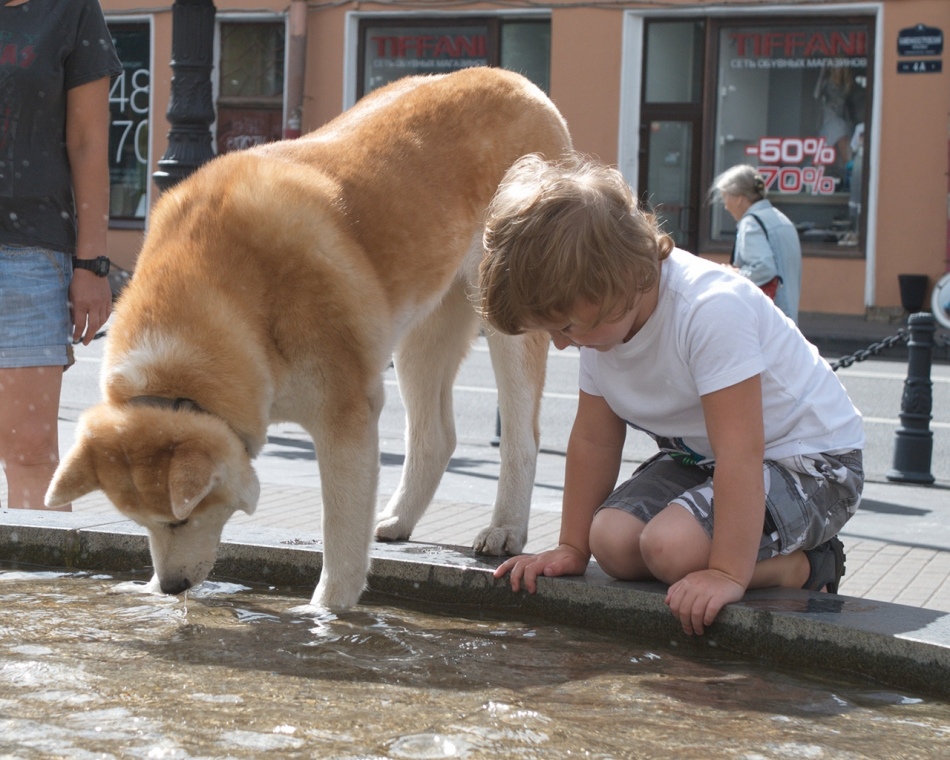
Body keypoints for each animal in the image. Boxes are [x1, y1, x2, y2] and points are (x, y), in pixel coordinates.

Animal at [46, 65, 572, 612]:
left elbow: (340, 534)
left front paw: (324, 613)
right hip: (421, 333)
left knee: (522, 437)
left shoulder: (346, 415)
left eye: (181, 519)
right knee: (435, 436)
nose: (172, 587)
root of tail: (515, 79)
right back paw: (398, 520)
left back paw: (505, 529)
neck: (235, 293)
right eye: (142, 522)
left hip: (509, 316)